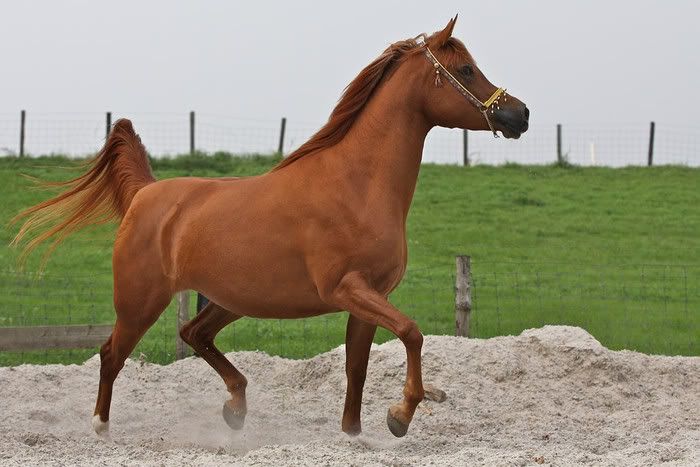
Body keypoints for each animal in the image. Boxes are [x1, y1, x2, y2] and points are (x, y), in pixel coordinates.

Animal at [12, 18, 524, 440]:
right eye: (466, 70)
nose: (520, 114)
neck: (356, 185)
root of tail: (146, 193)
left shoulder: (368, 298)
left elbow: (357, 368)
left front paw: (354, 432)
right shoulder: (347, 288)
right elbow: (413, 332)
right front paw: (400, 415)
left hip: (230, 300)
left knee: (193, 334)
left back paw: (235, 407)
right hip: (141, 302)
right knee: (111, 353)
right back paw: (101, 427)